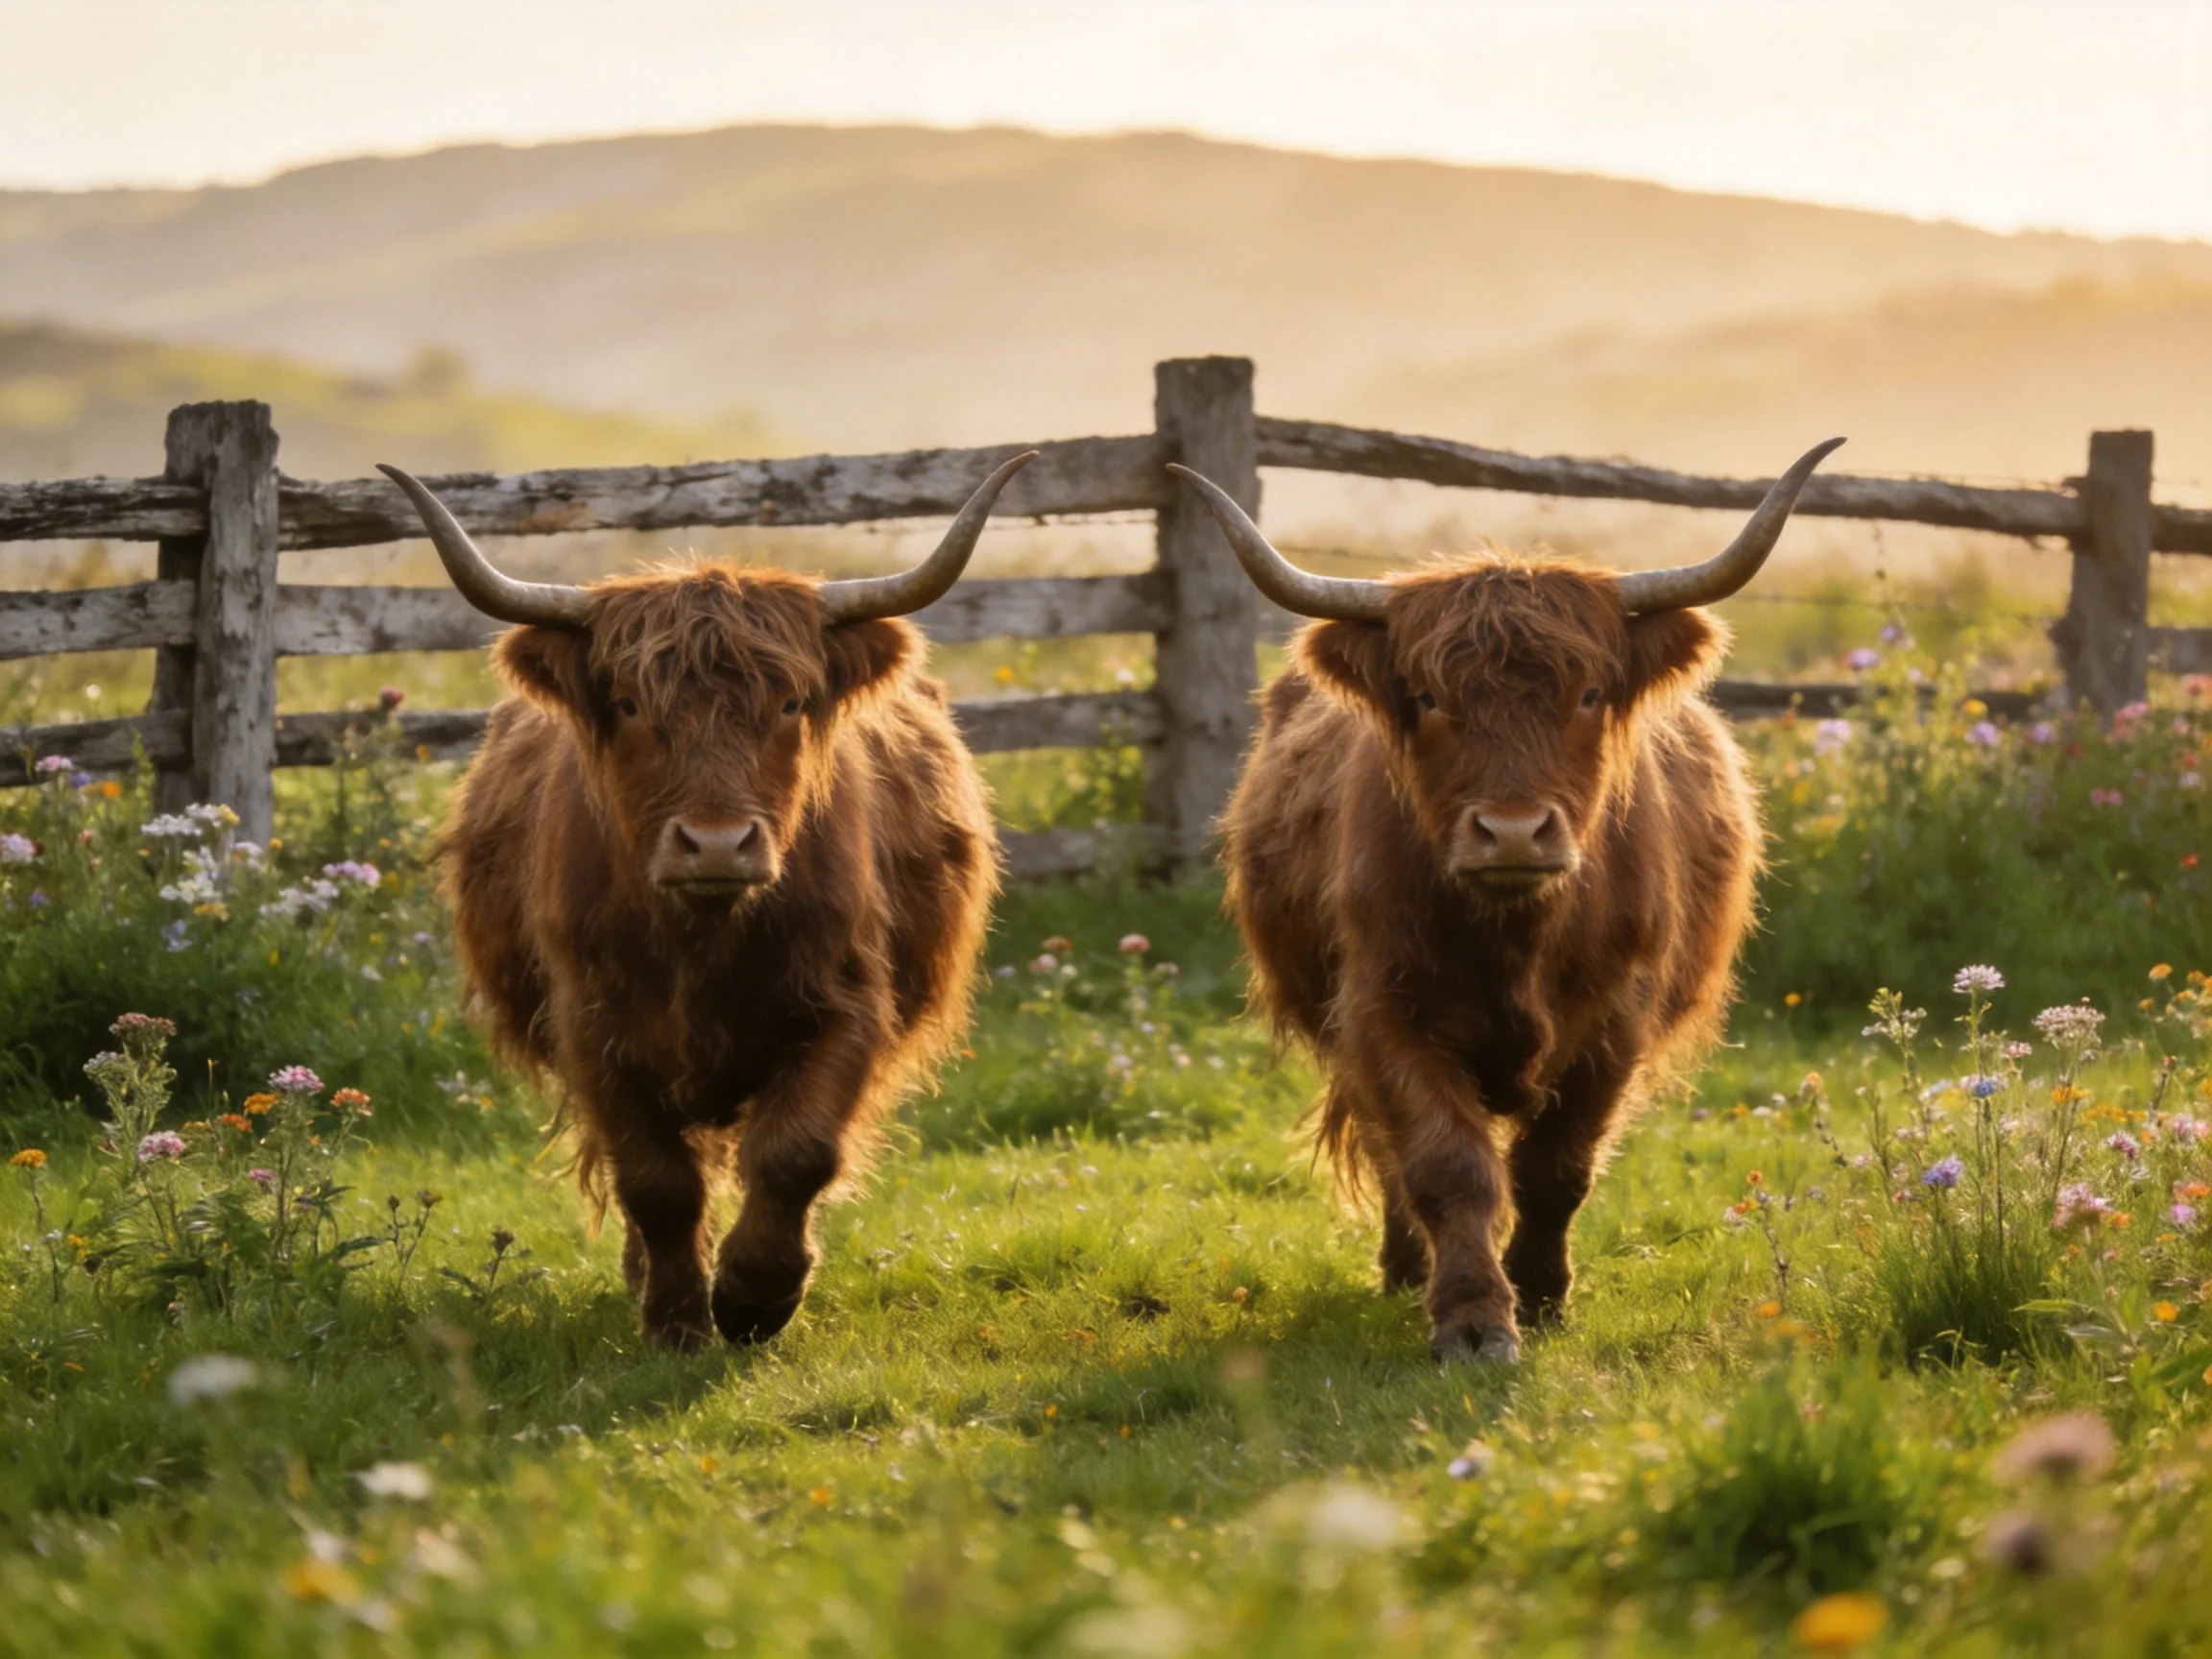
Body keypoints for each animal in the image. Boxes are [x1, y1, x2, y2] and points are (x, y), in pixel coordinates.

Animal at [378, 454, 1032, 1349]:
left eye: (789, 703)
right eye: (629, 705)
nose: (718, 843)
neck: (703, 943)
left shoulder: (847, 1004)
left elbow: (796, 1152)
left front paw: (756, 1297)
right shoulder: (591, 1023)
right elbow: (654, 1181)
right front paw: (677, 1319)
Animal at [1166, 441, 1843, 1364]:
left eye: (1588, 694)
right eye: (1427, 697)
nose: (1514, 831)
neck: (1520, 938)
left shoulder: (1616, 1021)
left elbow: (1558, 1168)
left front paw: (1543, 1292)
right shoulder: (1384, 1012)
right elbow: (1446, 1166)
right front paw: (1474, 1318)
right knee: (1389, 1150)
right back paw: (1406, 1268)